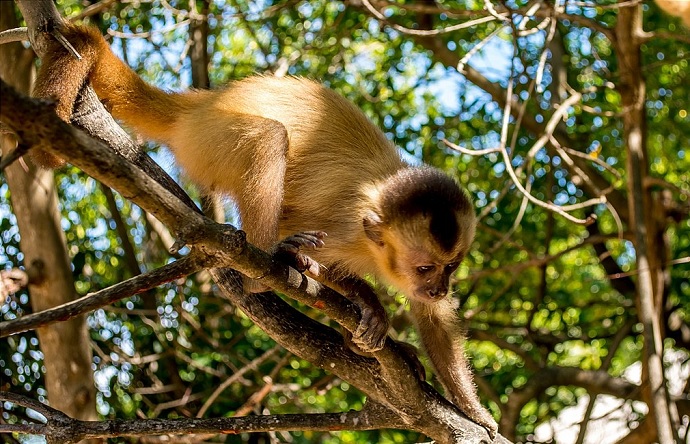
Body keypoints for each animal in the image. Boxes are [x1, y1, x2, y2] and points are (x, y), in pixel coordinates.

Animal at [32, 24, 498, 438]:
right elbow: (315, 247)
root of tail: (199, 106)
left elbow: (433, 317)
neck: (374, 239)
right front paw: (367, 302)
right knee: (269, 138)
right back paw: (270, 262)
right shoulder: (346, 229)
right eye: (424, 269)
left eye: (450, 268)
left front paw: (472, 410)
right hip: (208, 141)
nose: (438, 286)